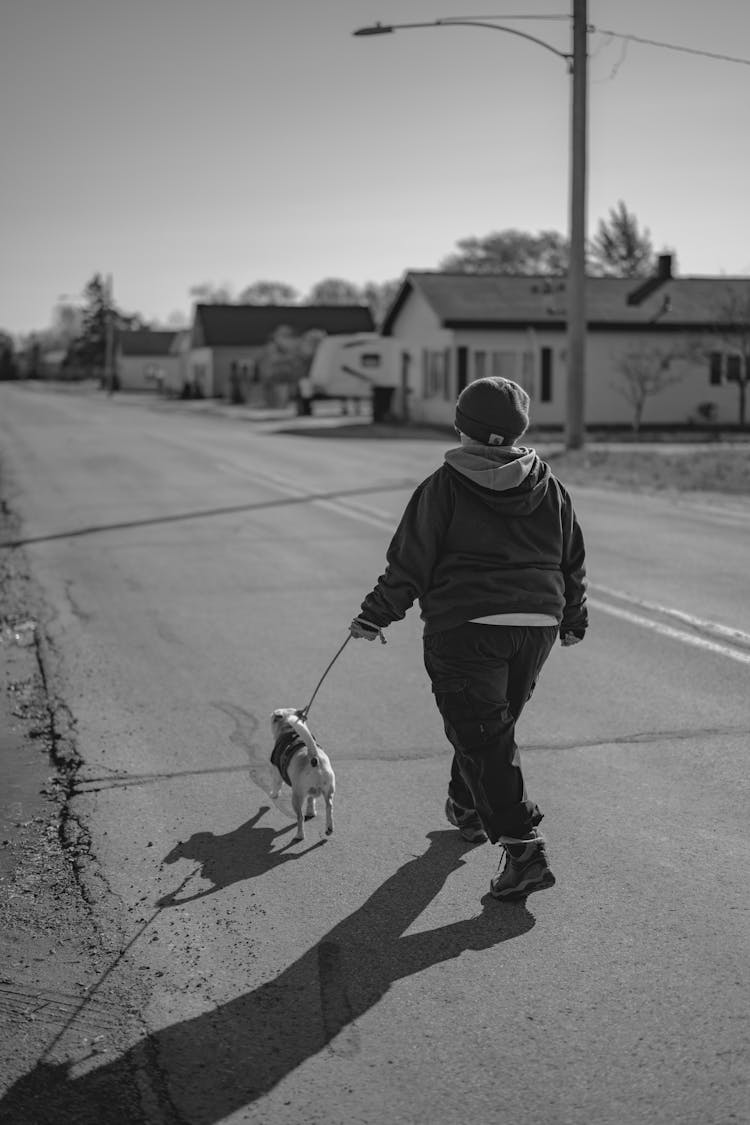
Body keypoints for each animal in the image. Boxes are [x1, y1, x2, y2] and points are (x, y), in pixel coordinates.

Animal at [270, 706, 335, 841]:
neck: (290, 730)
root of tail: (314, 756)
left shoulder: (276, 770)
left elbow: (276, 785)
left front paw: (273, 794)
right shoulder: (311, 791)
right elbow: (311, 799)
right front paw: (311, 812)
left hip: (296, 797)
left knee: (300, 817)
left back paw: (299, 835)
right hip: (328, 790)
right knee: (329, 807)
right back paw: (329, 828)